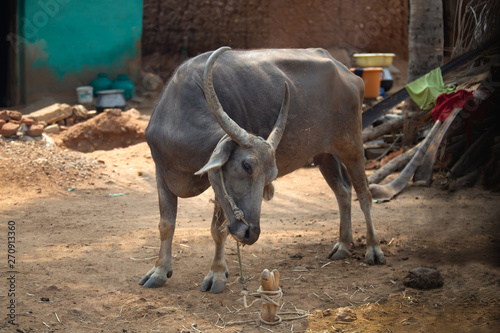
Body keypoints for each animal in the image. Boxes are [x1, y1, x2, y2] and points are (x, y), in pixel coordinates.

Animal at [141, 47, 386, 294]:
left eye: (270, 175)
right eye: (246, 165)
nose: (252, 233)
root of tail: (348, 73)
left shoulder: (217, 185)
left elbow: (218, 230)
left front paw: (217, 274)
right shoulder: (161, 173)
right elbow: (166, 225)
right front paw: (159, 271)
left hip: (352, 145)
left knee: (364, 195)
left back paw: (373, 249)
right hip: (324, 155)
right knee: (343, 192)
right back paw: (343, 245)